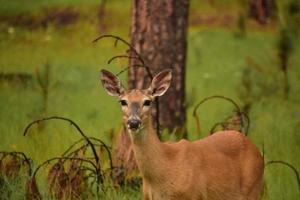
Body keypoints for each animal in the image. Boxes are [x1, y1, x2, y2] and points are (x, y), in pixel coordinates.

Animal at [100, 69, 262, 200]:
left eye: (147, 102)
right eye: (123, 102)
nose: (133, 122)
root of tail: (255, 148)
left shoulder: (195, 195)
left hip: (252, 189)